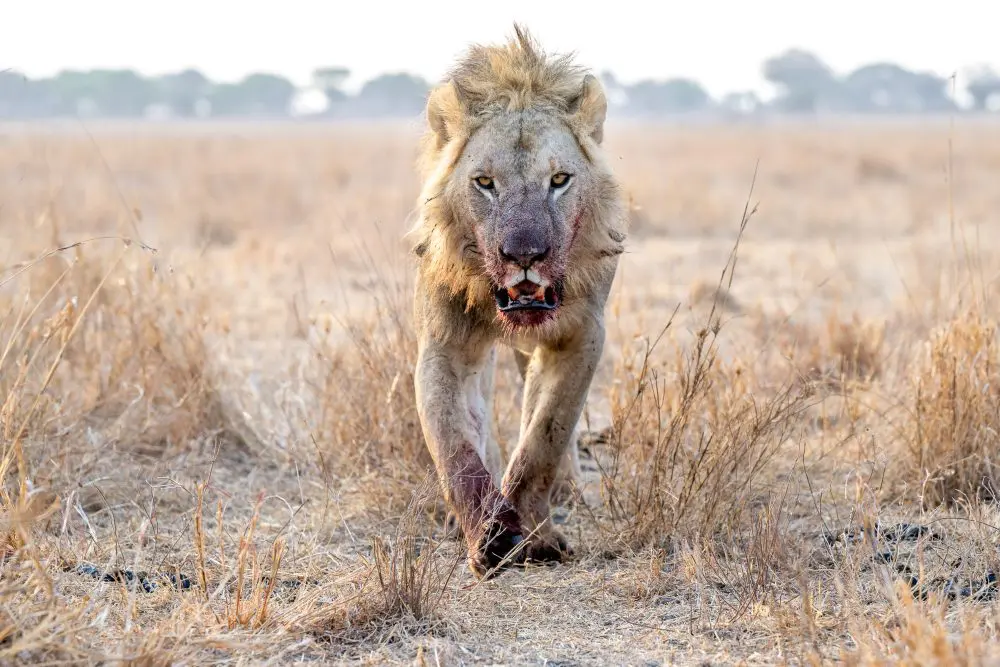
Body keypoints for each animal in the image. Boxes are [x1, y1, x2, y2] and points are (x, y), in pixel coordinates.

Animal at [408, 24, 627, 579]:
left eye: (559, 180)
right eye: (485, 183)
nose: (524, 255)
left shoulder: (582, 336)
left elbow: (544, 436)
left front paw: (536, 537)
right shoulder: (446, 344)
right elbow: (455, 446)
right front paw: (490, 536)